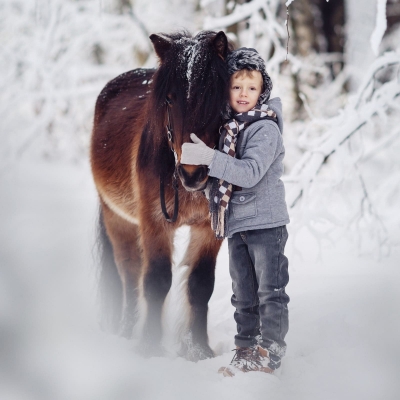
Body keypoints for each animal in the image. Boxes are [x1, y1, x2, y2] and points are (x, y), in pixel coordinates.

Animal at [91, 30, 233, 360]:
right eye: (169, 99)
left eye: (215, 97)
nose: (192, 174)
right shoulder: (155, 222)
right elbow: (156, 281)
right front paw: (149, 347)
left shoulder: (208, 228)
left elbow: (200, 285)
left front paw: (198, 350)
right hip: (118, 219)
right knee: (130, 276)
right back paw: (127, 332)